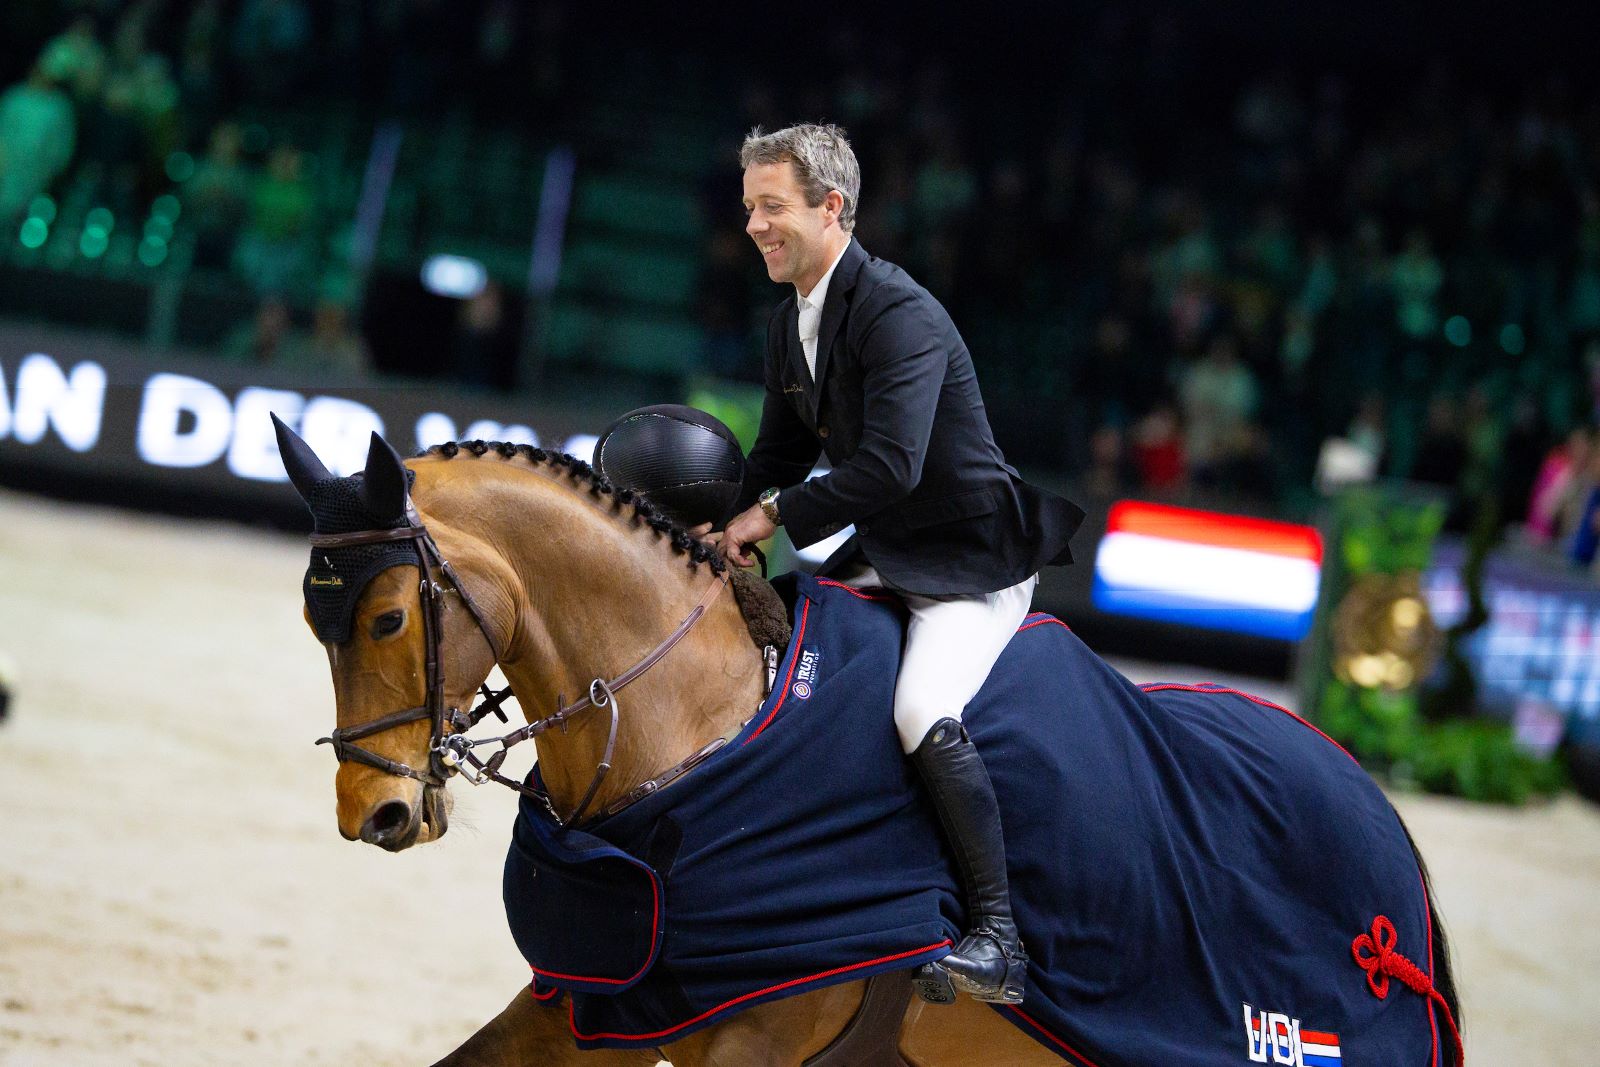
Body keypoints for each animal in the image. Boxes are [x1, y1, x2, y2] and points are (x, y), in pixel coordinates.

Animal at [275, 425, 1465, 1067]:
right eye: (311, 621)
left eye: (387, 619)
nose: (374, 812)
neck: (694, 737)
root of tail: (1385, 826)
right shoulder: (590, 999)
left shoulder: (755, 1039)